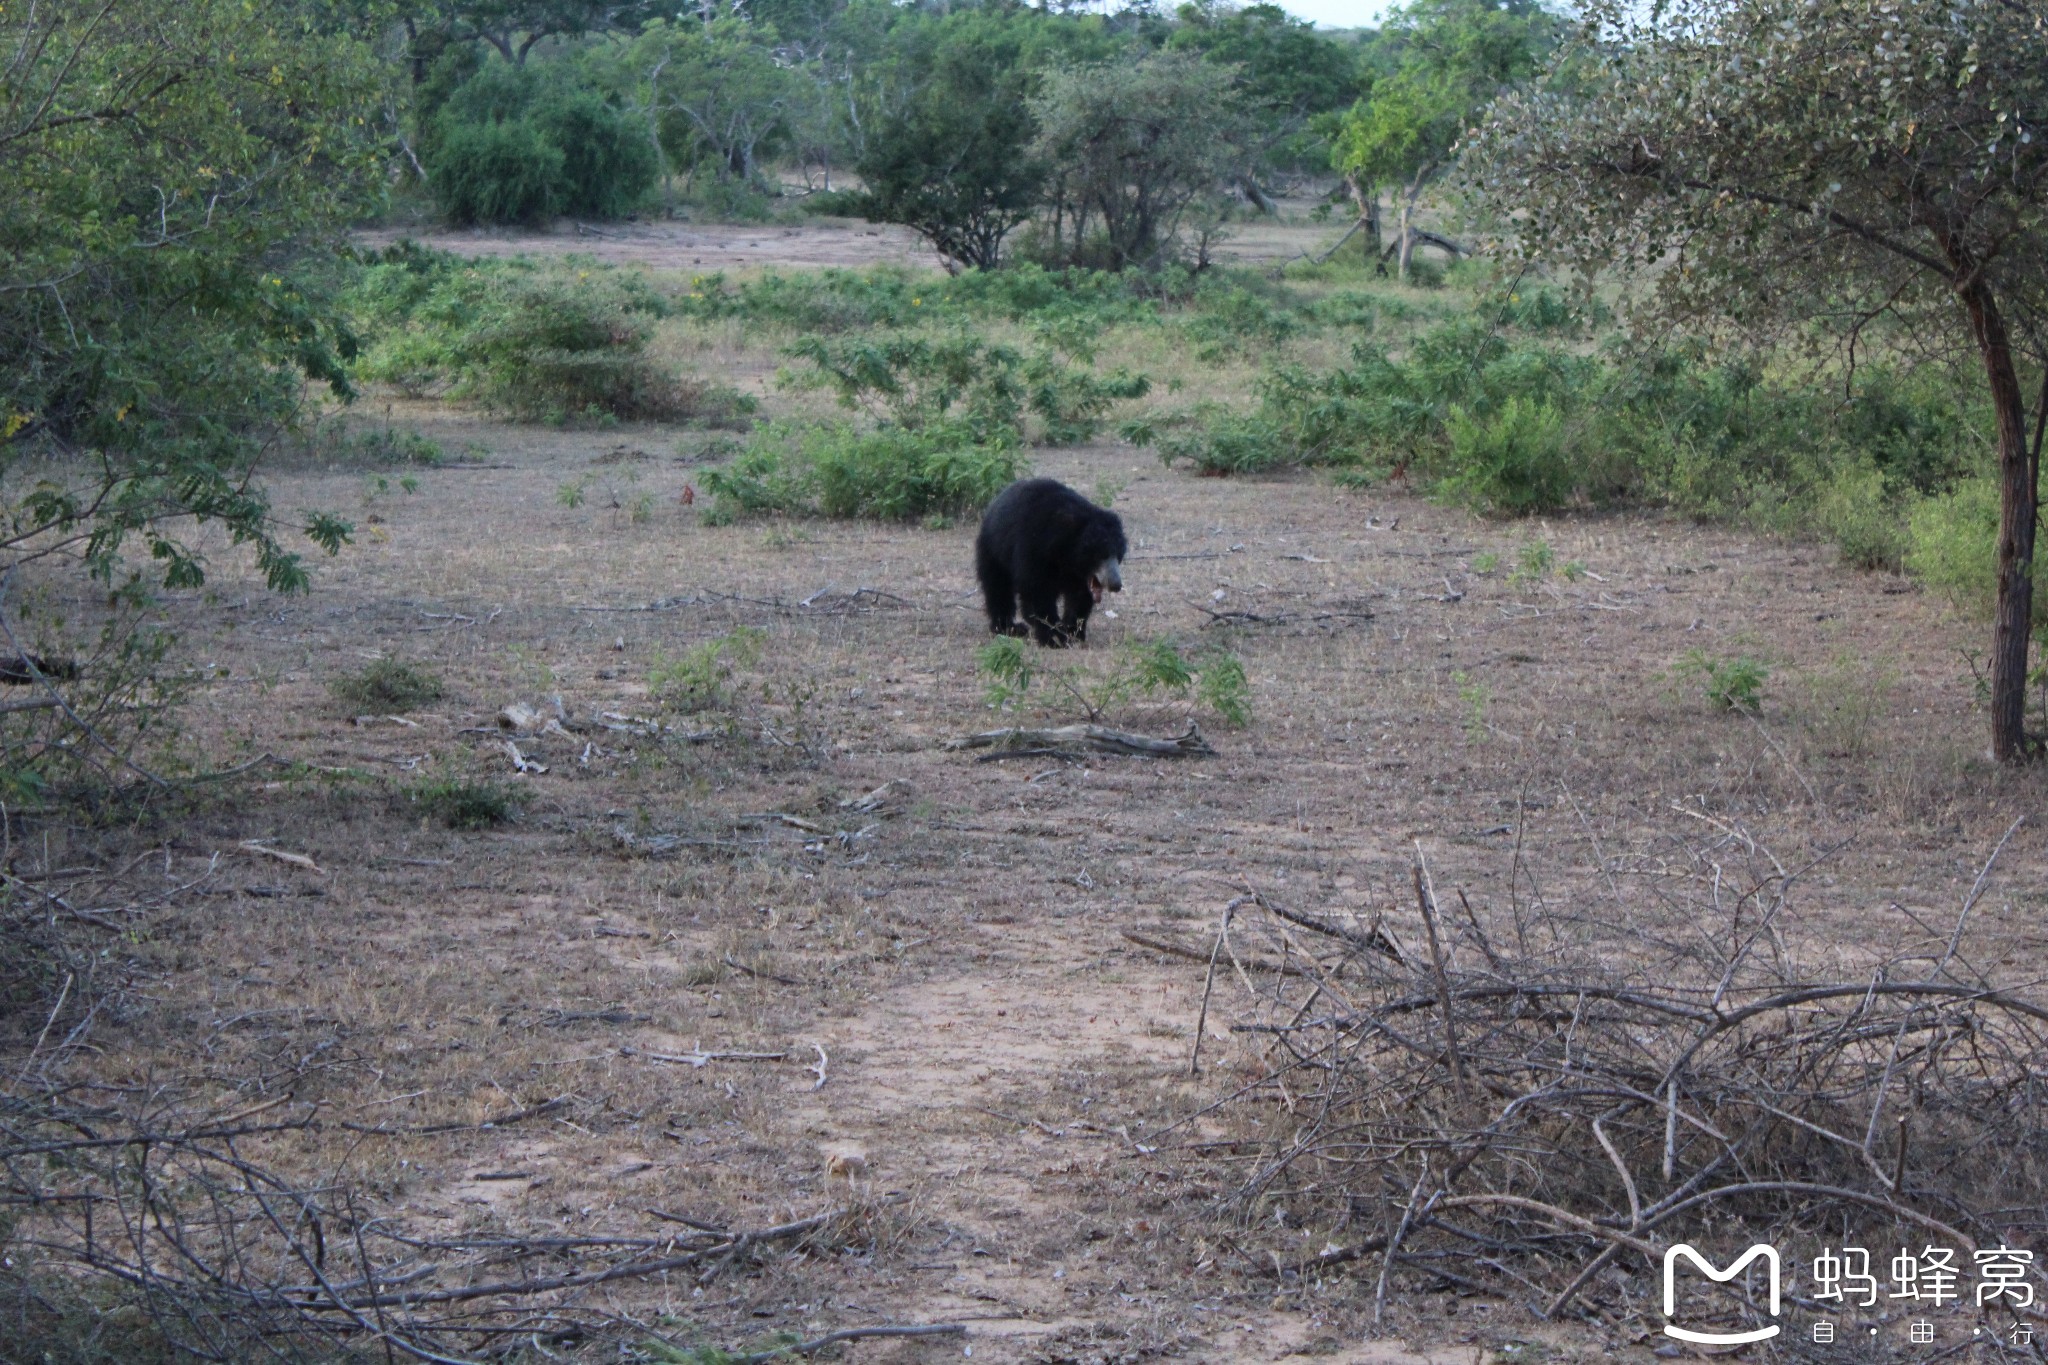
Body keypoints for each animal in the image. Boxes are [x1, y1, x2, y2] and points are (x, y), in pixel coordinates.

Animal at [970, 480, 1130, 650]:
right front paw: (1055, 637)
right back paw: (1009, 627)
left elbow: (1078, 597)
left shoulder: (1076, 574)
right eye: (1101, 555)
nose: (1116, 584)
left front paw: (1073, 631)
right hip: (994, 550)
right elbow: (1036, 592)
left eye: (1118, 555)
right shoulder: (1034, 548)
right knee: (997, 587)